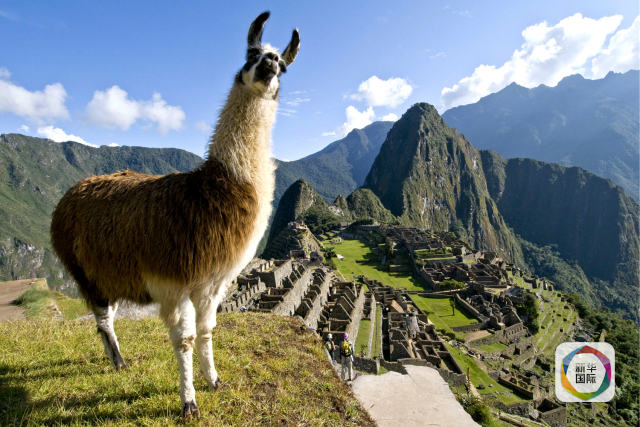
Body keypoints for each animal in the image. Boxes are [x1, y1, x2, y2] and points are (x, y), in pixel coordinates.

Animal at [50, 11, 300, 417]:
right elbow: (184, 340)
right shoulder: (172, 280)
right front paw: (189, 403)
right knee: (102, 319)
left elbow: (208, 330)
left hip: (111, 268)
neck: (214, 189)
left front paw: (214, 381)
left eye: (283, 66)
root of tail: (71, 193)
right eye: (252, 54)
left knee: (108, 317)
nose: (267, 67)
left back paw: (116, 361)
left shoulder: (212, 281)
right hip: (83, 269)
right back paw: (119, 362)